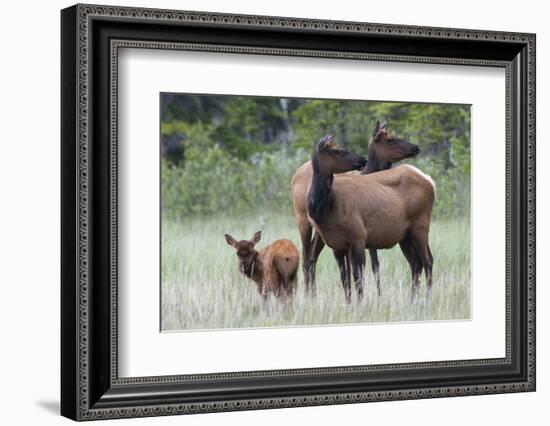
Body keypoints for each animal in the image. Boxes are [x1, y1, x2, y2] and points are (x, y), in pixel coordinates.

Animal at [294, 120, 422, 296]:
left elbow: (371, 265)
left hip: (319, 234)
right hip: (303, 221)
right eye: (391, 139)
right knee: (306, 258)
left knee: (312, 257)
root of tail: (294, 175)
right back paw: (309, 294)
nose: (416, 147)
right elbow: (368, 266)